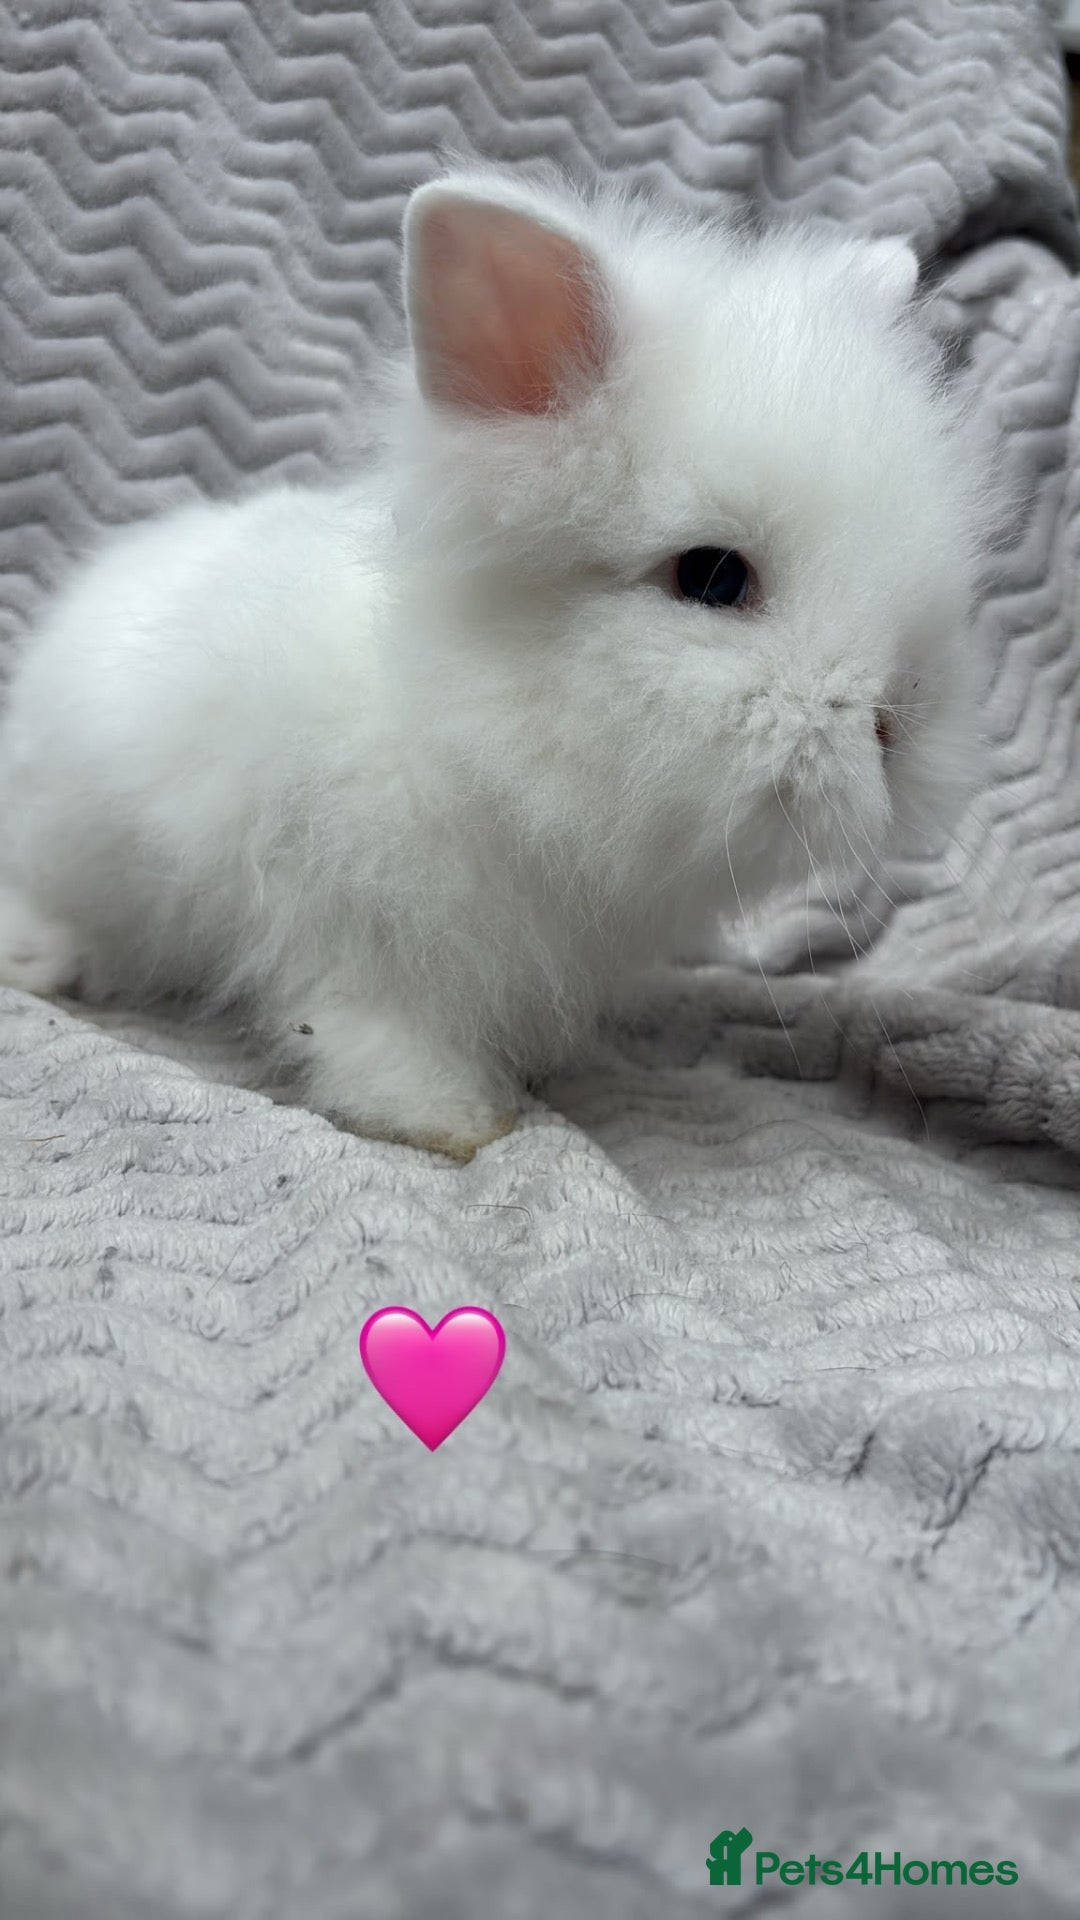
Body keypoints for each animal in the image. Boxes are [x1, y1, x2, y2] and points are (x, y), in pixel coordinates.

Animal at [0, 163, 989, 1160]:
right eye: (713, 577)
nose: (897, 726)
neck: (480, 735)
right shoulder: (361, 935)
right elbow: (378, 1036)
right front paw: (460, 1124)